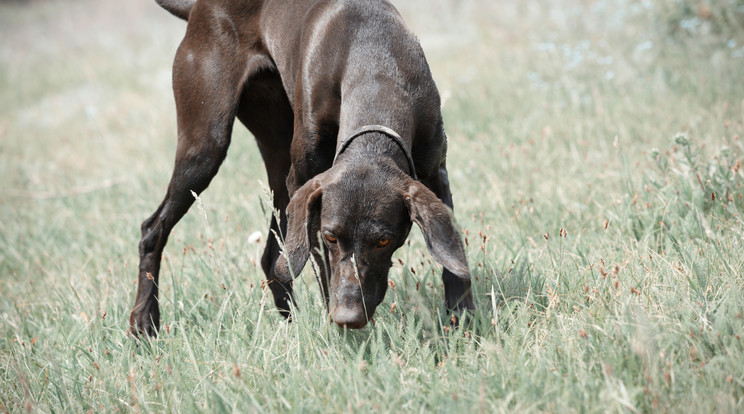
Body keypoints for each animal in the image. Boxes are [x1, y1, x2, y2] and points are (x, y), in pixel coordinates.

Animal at [129, 0, 474, 336]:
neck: (373, 63)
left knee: (271, 256)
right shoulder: (309, 186)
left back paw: (291, 326)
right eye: (332, 237)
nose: (348, 317)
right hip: (206, 146)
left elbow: (453, 259)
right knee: (153, 228)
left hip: (278, 156)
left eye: (383, 241)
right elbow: (322, 264)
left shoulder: (435, 174)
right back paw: (144, 323)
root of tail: (196, 9)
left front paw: (462, 319)